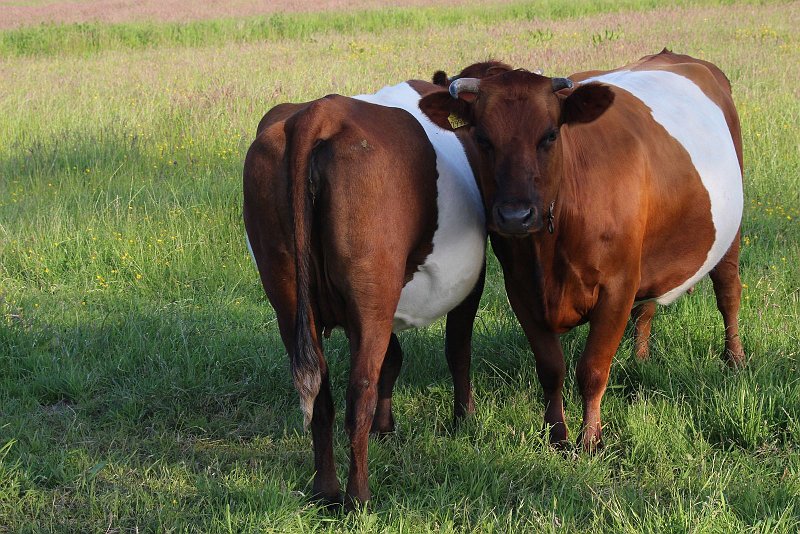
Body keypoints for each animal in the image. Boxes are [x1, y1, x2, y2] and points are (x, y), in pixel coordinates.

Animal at [242, 80, 488, 506]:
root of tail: (321, 113)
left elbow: (393, 357)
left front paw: (386, 427)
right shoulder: (468, 283)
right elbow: (457, 350)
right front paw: (464, 419)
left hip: (289, 295)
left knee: (321, 397)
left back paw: (326, 490)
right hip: (371, 294)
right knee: (359, 392)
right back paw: (359, 497)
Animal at [422, 51, 748, 452]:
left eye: (549, 134)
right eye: (482, 137)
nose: (515, 215)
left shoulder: (617, 286)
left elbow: (592, 368)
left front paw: (590, 439)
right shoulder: (522, 289)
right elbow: (551, 367)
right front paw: (556, 435)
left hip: (730, 233)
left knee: (728, 292)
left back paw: (734, 360)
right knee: (648, 307)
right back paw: (640, 359)